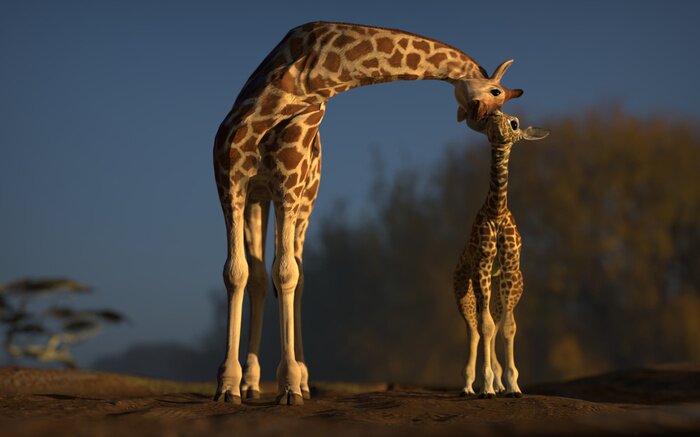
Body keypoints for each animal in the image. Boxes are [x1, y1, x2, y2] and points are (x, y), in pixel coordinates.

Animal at [213, 21, 524, 405]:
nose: (492, 119)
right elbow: (236, 273)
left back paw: (298, 379)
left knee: (294, 275)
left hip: (304, 199)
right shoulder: (231, 181)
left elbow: (285, 273)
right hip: (260, 199)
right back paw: (251, 384)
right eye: (497, 91)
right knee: (258, 275)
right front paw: (228, 385)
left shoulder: (288, 186)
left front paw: (289, 387)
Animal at [453, 110, 549, 398]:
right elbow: (484, 326)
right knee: (474, 329)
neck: (496, 211)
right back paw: (468, 386)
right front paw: (487, 387)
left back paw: (497, 382)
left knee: (494, 325)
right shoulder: (482, 266)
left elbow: (508, 327)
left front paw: (512, 385)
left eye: (514, 123)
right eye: (487, 120)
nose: (495, 116)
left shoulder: (510, 268)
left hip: (504, 285)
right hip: (462, 286)